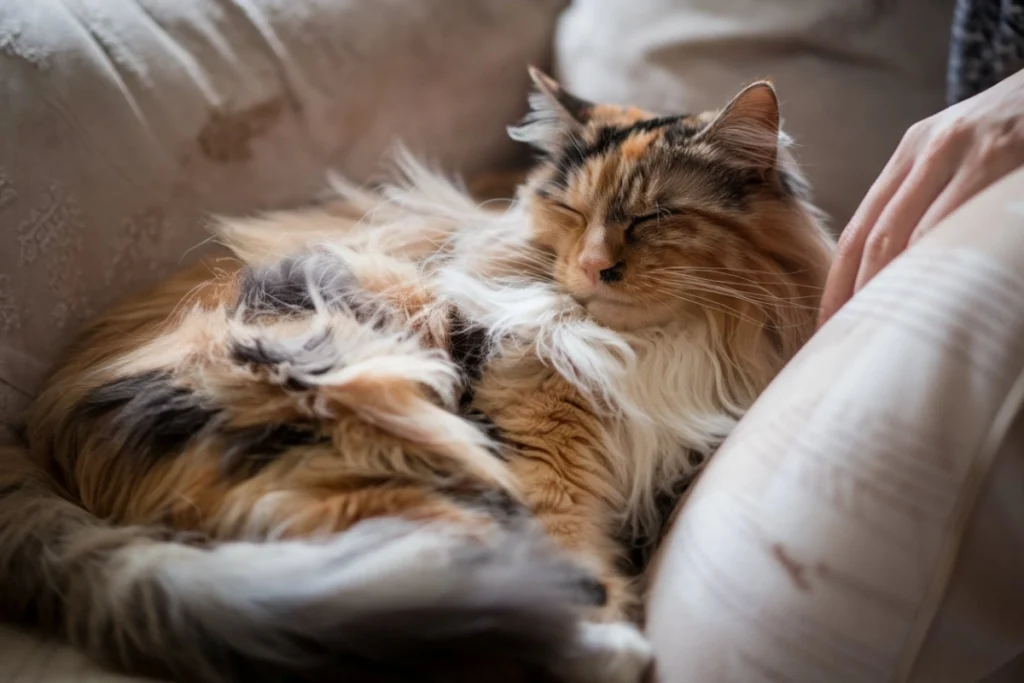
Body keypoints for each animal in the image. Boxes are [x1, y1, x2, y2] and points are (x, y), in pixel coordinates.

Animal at [0, 69, 831, 683]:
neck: (651, 345)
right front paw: (603, 628)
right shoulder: (537, 443)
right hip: (372, 409)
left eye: (653, 217)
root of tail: (37, 444)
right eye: (570, 211)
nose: (594, 267)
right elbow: (565, 540)